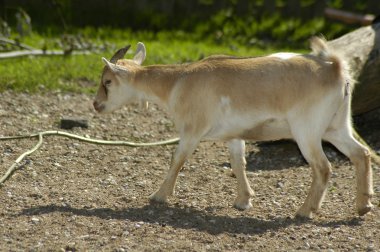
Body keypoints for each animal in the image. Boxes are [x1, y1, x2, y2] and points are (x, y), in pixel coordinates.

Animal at [93, 38, 372, 219]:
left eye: (107, 81)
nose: (96, 104)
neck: (178, 82)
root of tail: (335, 68)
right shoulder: (234, 136)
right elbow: (238, 163)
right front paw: (243, 201)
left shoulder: (192, 130)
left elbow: (177, 159)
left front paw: (158, 196)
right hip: (337, 127)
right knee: (361, 154)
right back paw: (363, 206)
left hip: (307, 131)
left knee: (323, 167)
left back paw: (304, 211)